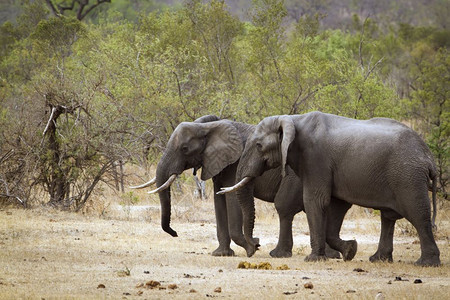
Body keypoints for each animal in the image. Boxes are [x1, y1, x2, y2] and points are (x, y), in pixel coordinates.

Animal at [132, 115, 356, 258]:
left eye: (184, 148)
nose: (175, 233)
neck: (209, 128)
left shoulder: (233, 164)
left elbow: (232, 199)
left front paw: (250, 249)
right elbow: (219, 200)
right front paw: (222, 254)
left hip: (299, 177)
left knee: (284, 208)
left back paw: (280, 254)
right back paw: (334, 255)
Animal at [220, 111, 442, 266]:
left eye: (258, 146)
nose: (255, 246)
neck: (292, 119)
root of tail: (429, 158)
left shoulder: (315, 158)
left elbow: (315, 200)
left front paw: (313, 259)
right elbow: (335, 207)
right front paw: (350, 250)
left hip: (408, 178)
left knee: (418, 215)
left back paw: (426, 264)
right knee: (388, 217)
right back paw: (378, 259)